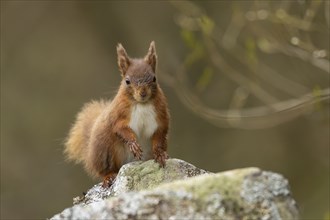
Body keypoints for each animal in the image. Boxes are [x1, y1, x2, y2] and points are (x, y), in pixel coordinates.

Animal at [63, 41, 170, 187]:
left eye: (154, 78)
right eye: (127, 81)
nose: (143, 93)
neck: (141, 104)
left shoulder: (161, 117)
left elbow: (159, 135)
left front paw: (159, 154)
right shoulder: (118, 115)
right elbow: (120, 128)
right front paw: (133, 144)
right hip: (104, 150)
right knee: (105, 170)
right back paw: (108, 176)